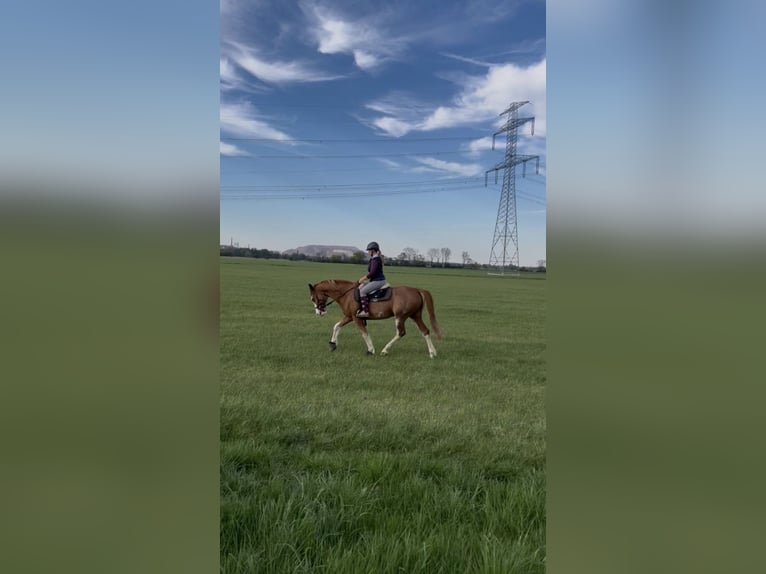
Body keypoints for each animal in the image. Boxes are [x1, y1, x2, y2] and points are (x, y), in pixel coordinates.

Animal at [308, 279, 442, 358]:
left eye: (313, 298)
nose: (319, 312)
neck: (346, 294)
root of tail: (416, 290)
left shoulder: (356, 318)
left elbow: (364, 333)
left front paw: (371, 350)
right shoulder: (349, 316)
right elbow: (336, 326)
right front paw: (332, 344)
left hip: (400, 317)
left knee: (401, 332)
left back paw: (385, 350)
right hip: (415, 316)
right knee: (425, 331)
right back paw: (432, 353)